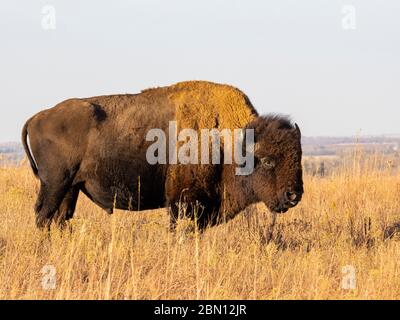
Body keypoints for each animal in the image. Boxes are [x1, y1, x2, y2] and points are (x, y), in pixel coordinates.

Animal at [21, 80, 304, 230]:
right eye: (267, 161)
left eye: (298, 157)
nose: (294, 195)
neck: (227, 141)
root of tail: (38, 117)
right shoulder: (183, 204)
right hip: (55, 184)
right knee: (44, 215)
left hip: (71, 187)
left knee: (59, 217)